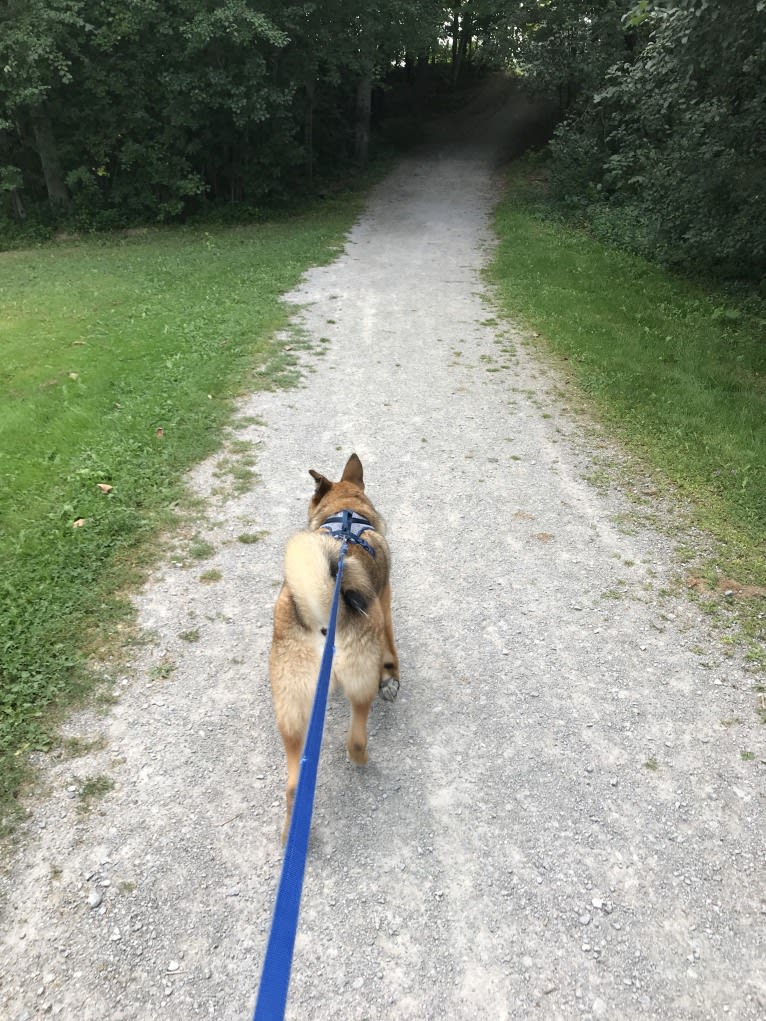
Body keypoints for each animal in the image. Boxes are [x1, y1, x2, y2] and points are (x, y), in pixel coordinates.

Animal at [269, 455, 402, 837]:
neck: (345, 512)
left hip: (292, 707)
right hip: (359, 680)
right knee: (356, 739)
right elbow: (391, 645)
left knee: (293, 784)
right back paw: (363, 759)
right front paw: (391, 676)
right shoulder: (384, 601)